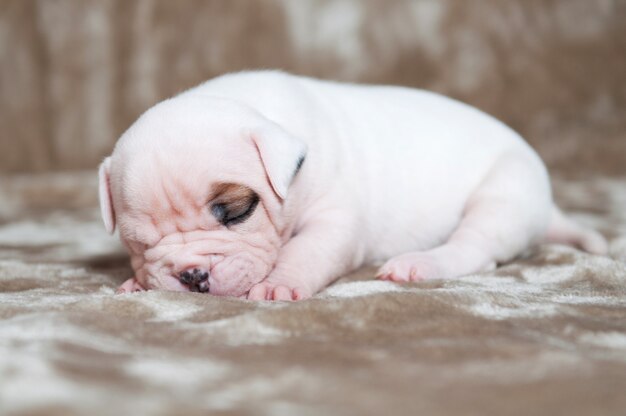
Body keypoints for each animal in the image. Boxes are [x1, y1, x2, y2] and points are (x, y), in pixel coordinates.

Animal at [100, 70, 608, 300]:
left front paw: (277, 285)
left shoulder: (334, 221)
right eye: (137, 242)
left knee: (476, 248)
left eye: (238, 212)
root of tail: (547, 208)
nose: (192, 275)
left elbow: (305, 251)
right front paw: (137, 280)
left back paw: (419, 263)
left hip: (504, 192)